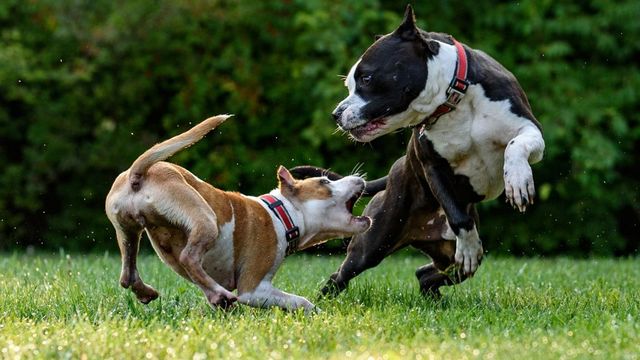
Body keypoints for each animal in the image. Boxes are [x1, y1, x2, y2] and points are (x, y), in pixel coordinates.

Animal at [106, 115, 370, 312]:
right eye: (325, 182)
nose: (359, 178)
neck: (282, 213)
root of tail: (138, 174)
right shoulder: (254, 289)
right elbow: (299, 301)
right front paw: (317, 313)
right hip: (205, 218)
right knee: (188, 257)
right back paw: (220, 293)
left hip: (128, 230)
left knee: (128, 275)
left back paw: (153, 292)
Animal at [292, 5, 544, 296]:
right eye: (350, 85)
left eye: (366, 77)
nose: (336, 114)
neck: (453, 100)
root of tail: (394, 171)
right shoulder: (432, 166)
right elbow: (457, 216)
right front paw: (469, 245)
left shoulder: (530, 129)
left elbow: (516, 145)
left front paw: (518, 181)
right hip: (374, 242)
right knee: (342, 274)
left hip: (447, 258)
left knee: (427, 273)